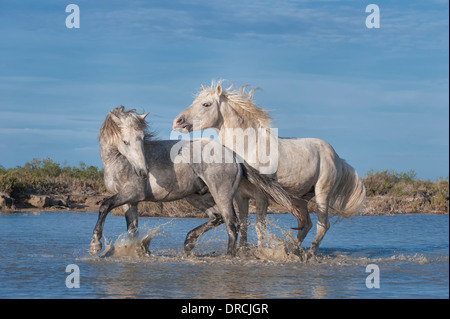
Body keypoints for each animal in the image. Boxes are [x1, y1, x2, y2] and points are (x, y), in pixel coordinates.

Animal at [89, 107, 300, 258]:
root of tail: (232, 155)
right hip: (196, 197)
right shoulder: (130, 202)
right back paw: (189, 242)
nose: (143, 172)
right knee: (217, 218)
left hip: (221, 195)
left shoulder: (132, 193)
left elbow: (104, 204)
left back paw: (228, 256)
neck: (117, 162)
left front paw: (95, 244)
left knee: (232, 223)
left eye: (141, 139)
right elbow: (132, 230)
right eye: (125, 141)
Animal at [172, 82, 366, 258]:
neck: (248, 147)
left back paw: (309, 255)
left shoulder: (261, 197)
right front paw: (244, 252)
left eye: (206, 104)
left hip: (322, 194)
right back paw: (293, 251)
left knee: (322, 225)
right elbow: (244, 224)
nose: (177, 122)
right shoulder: (241, 196)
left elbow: (260, 226)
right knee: (306, 225)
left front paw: (260, 252)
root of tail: (338, 158)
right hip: (300, 199)